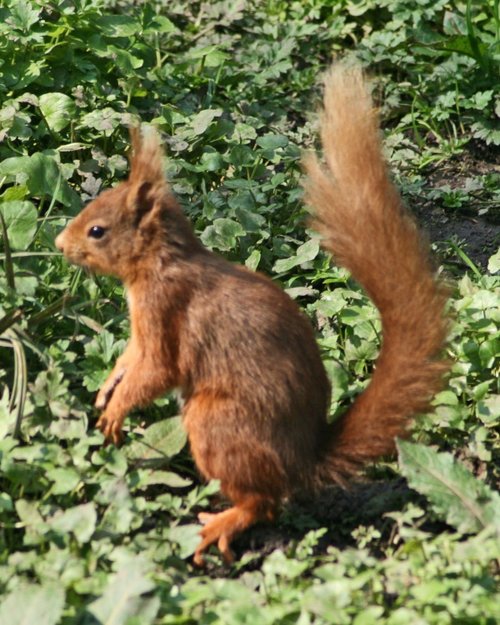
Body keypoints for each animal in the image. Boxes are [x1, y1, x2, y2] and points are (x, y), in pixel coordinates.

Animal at [55, 67, 450, 564]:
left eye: (97, 230)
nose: (59, 245)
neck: (160, 260)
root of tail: (303, 462)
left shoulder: (165, 307)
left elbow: (159, 368)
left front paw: (117, 409)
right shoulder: (141, 334)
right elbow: (130, 358)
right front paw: (109, 388)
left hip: (217, 424)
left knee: (264, 503)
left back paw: (221, 524)